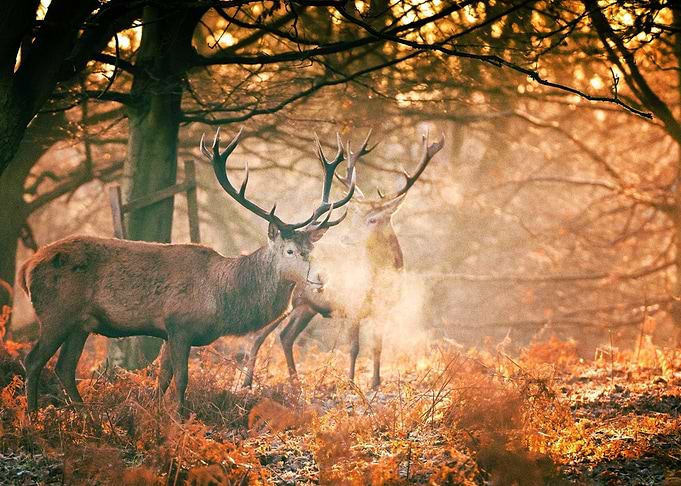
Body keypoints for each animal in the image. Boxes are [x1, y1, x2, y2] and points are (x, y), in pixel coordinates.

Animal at [18, 128, 370, 414]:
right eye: (290, 250)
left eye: (313, 250)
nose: (320, 278)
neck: (223, 297)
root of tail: (27, 266)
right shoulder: (179, 324)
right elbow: (181, 379)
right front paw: (179, 418)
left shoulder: (165, 331)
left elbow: (162, 378)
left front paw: (153, 414)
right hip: (56, 312)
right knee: (34, 360)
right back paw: (33, 417)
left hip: (81, 322)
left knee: (64, 367)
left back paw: (85, 415)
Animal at [242, 132, 444, 389]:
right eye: (355, 217)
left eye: (373, 219)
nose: (346, 238)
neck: (379, 280)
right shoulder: (352, 305)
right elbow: (354, 348)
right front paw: (350, 383)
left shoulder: (384, 311)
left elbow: (378, 347)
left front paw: (375, 383)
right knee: (258, 335)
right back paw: (247, 383)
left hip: (306, 307)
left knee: (286, 336)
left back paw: (295, 382)